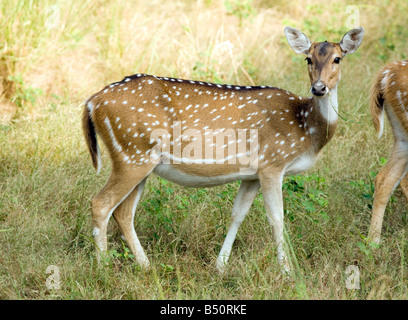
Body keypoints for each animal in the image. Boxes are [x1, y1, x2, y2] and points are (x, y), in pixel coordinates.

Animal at [82, 26, 364, 274]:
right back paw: (103, 268)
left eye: (337, 58)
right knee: (100, 203)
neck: (304, 127)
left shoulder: (252, 174)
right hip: (132, 155)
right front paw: (287, 272)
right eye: (308, 58)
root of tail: (92, 102)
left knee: (123, 212)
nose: (319, 88)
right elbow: (277, 218)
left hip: (139, 160)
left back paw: (146, 266)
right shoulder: (272, 163)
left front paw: (220, 266)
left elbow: (237, 214)